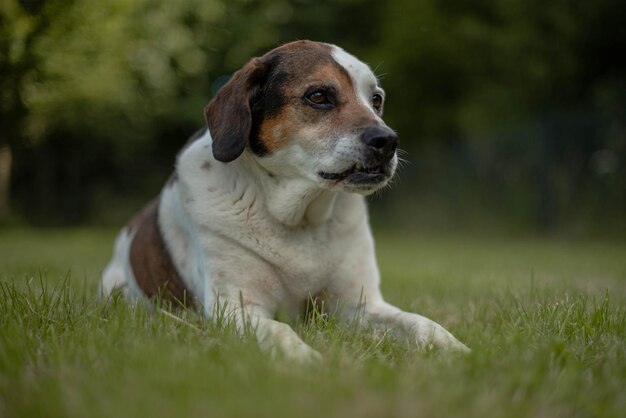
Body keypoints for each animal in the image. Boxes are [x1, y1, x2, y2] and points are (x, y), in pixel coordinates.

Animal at [100, 40, 466, 360]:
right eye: (318, 96)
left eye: (376, 99)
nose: (388, 141)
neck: (299, 217)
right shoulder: (234, 308)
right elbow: (280, 330)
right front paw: (305, 360)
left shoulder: (358, 306)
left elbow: (421, 323)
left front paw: (460, 353)